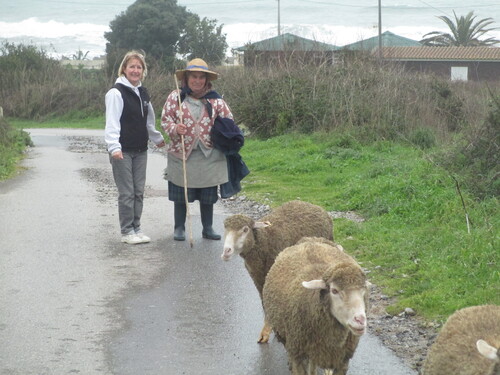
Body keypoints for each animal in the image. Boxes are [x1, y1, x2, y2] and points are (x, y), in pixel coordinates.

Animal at [221, 201, 334, 346]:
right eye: (225, 229)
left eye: (245, 229)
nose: (226, 251)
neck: (265, 240)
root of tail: (315, 206)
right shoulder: (257, 278)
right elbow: (264, 302)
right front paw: (267, 331)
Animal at [262, 238, 368, 375]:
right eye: (334, 291)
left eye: (363, 289)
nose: (360, 320)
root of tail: (309, 239)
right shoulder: (298, 354)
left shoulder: (342, 360)